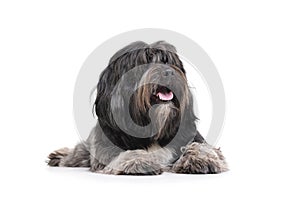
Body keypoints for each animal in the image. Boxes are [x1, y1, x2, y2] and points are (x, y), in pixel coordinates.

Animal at [48, 40, 227, 175]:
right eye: (144, 61)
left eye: (169, 61)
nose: (169, 72)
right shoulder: (105, 148)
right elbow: (125, 154)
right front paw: (140, 161)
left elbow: (203, 147)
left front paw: (201, 158)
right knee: (79, 152)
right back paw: (60, 156)